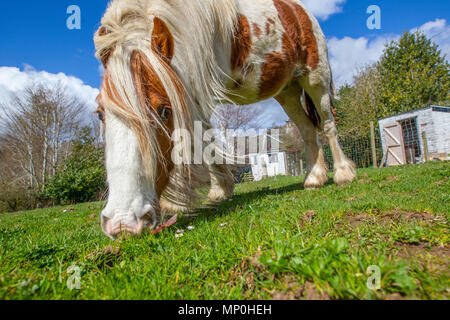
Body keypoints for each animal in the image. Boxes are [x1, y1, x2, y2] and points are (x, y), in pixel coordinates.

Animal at [94, 0, 356, 238]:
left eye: (164, 111)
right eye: (100, 113)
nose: (123, 223)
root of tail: (299, 9)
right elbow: (204, 144)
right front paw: (218, 190)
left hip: (316, 79)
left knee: (328, 125)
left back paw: (343, 174)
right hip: (288, 92)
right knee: (307, 129)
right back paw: (315, 177)